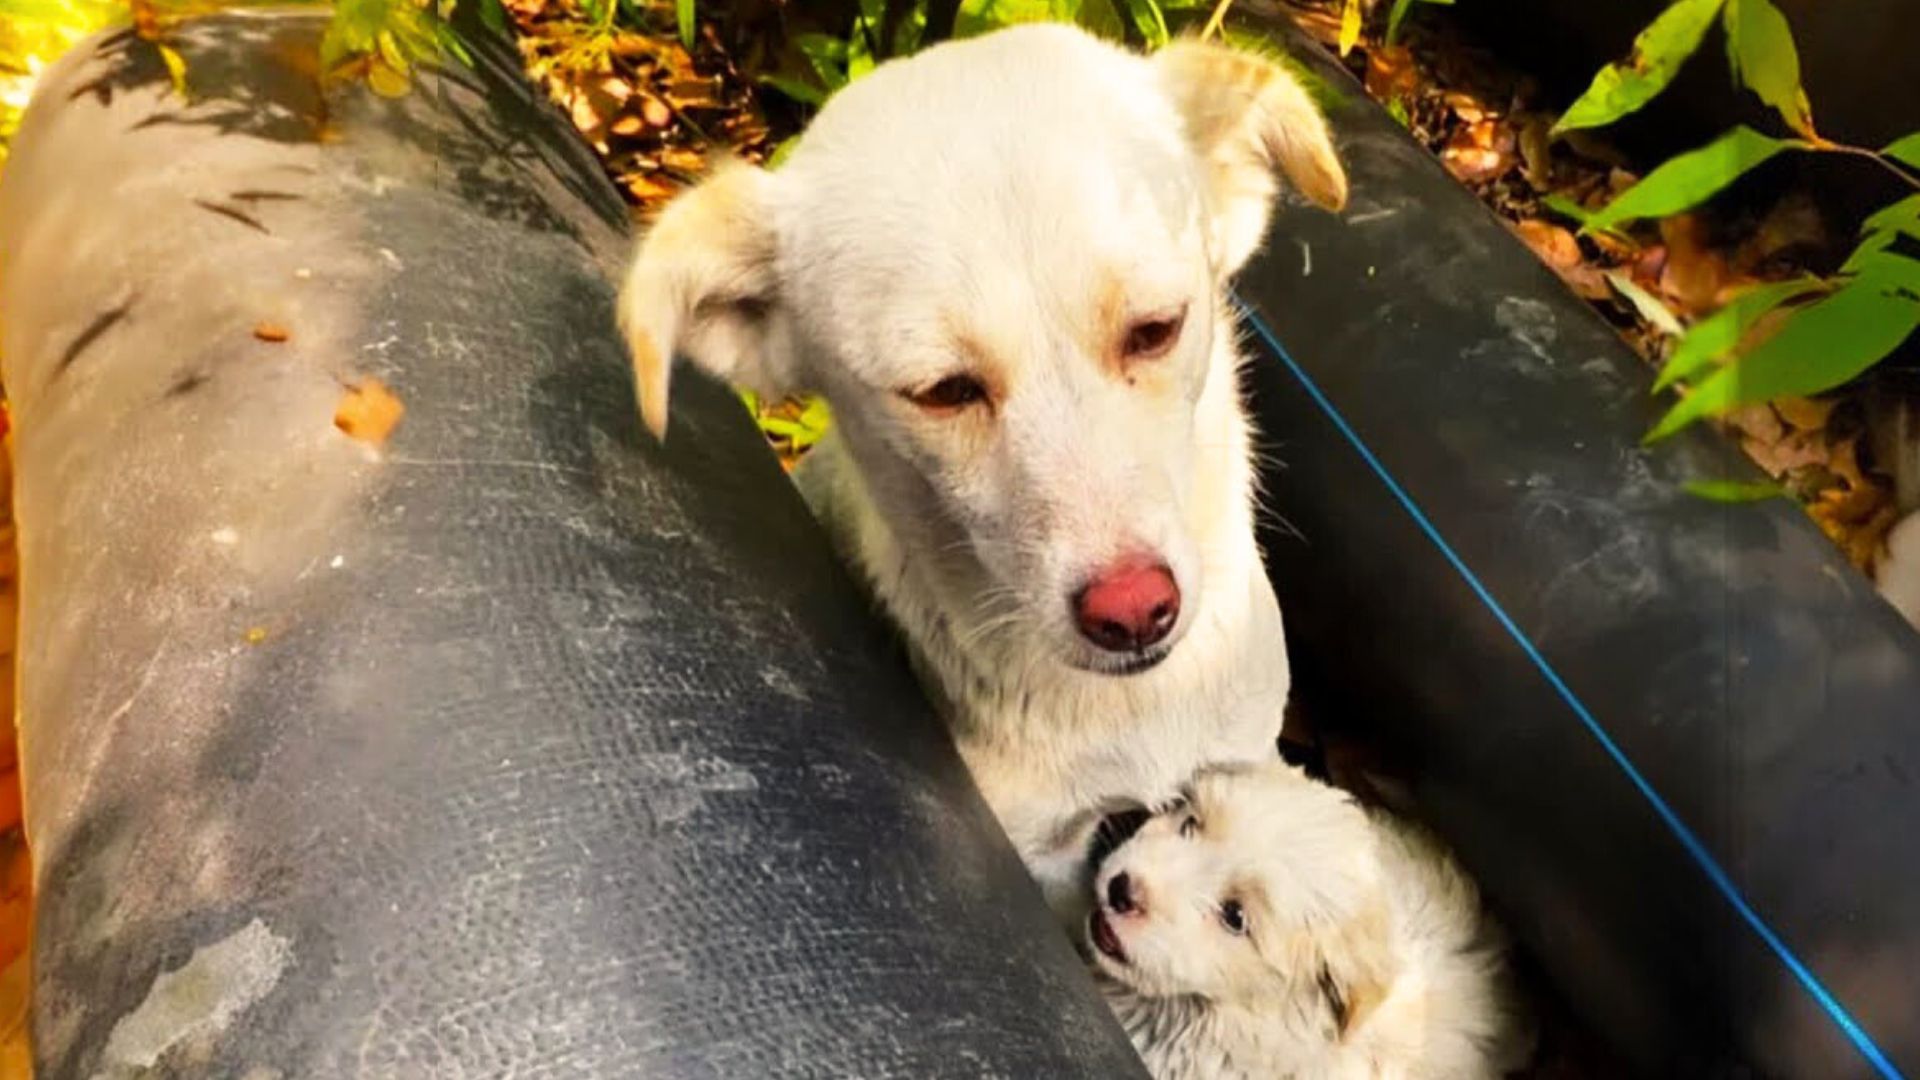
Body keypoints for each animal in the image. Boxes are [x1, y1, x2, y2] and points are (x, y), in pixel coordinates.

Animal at [622, 23, 1344, 914]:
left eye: (1155, 329)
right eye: (944, 392)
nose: (1134, 613)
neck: (1134, 707)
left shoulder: (1248, 763)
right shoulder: (1046, 861)